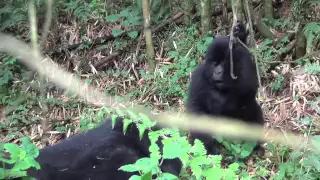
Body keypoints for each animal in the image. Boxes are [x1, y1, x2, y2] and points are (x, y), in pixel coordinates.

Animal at [186, 22, 264, 155]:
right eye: (214, 64)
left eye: (222, 63)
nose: (217, 72)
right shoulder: (198, 77)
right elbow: (197, 110)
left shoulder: (244, 65)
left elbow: (248, 89)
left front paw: (240, 33)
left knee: (253, 109)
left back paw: (256, 146)